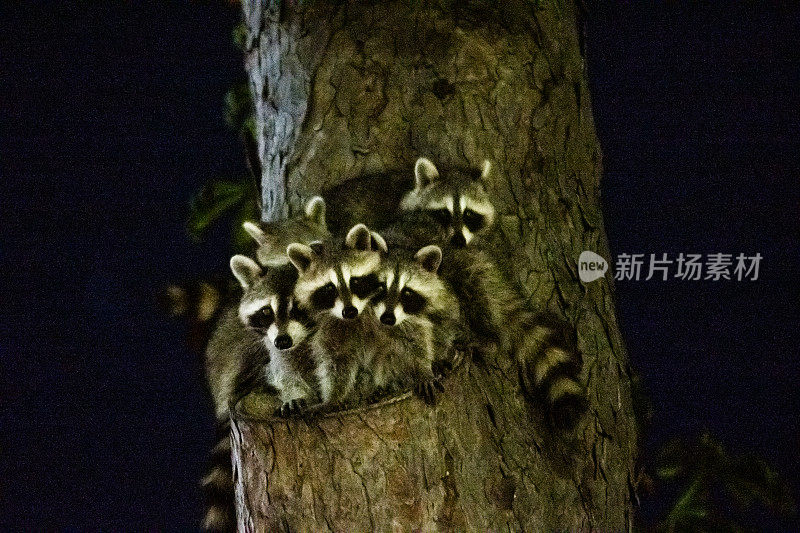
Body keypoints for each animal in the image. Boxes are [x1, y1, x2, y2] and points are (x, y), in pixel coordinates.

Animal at [288, 222, 388, 406]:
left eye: (355, 281)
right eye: (329, 288)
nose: (349, 311)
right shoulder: (332, 323)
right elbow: (337, 358)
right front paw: (333, 396)